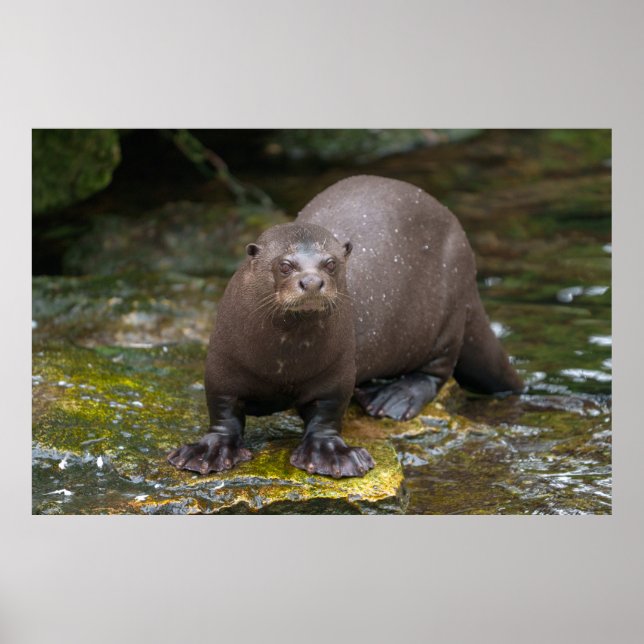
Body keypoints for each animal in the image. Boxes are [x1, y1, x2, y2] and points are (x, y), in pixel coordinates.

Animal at [168, 175, 523, 478]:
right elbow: (222, 411)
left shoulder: (337, 369)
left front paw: (330, 455)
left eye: (331, 264)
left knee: (438, 369)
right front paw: (209, 452)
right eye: (285, 265)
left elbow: (328, 412)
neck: (282, 363)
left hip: (450, 308)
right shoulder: (221, 364)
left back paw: (394, 397)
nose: (312, 281)